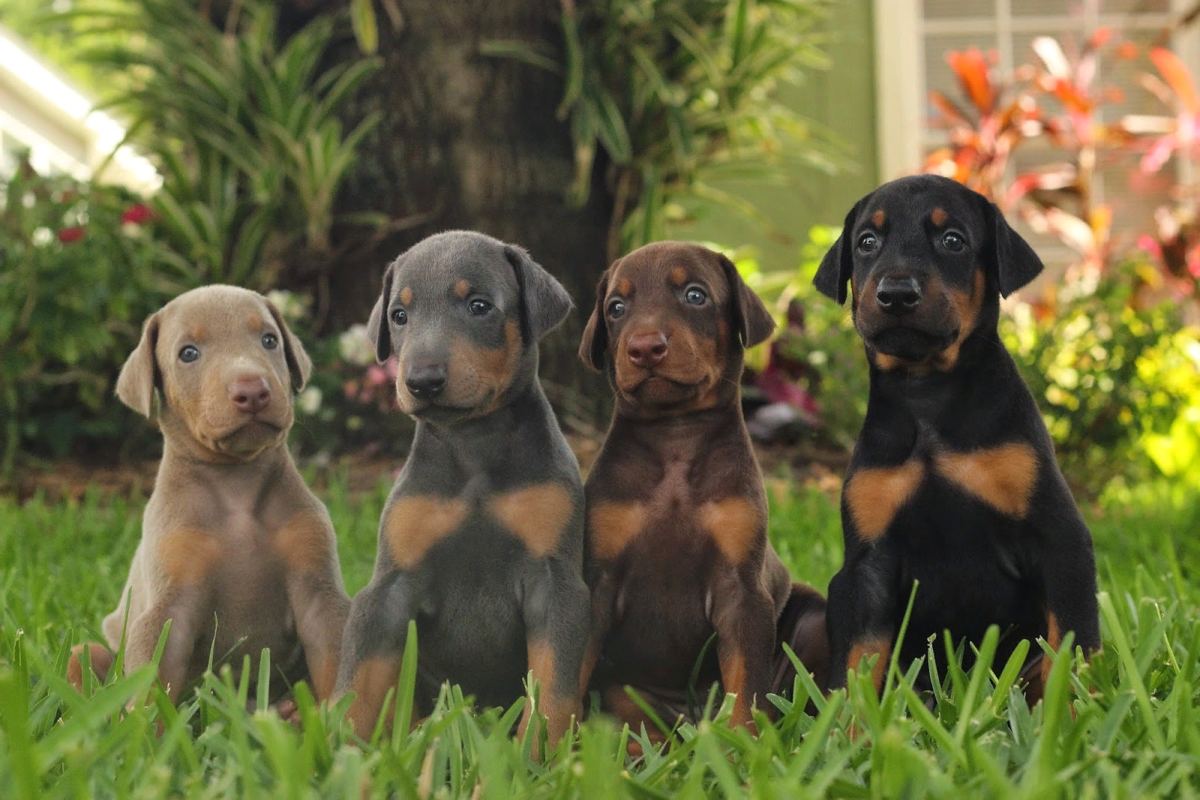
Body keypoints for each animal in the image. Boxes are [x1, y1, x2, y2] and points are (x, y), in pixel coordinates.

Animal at [66, 286, 350, 705]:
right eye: (188, 353)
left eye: (269, 340)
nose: (253, 390)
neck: (236, 484)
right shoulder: (170, 603)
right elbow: (151, 685)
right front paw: (144, 725)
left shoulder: (318, 591)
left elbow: (338, 660)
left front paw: (347, 720)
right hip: (89, 652)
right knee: (82, 658)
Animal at [336, 227, 588, 753]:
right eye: (399, 315)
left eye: (479, 305)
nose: (422, 381)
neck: (474, 445)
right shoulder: (389, 587)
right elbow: (356, 687)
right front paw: (335, 752)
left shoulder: (556, 584)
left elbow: (553, 690)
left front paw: (542, 757)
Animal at [578, 239, 825, 738]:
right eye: (616, 307)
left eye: (695, 295)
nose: (644, 348)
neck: (676, 436)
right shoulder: (598, 579)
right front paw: (540, 740)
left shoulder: (741, 589)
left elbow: (747, 689)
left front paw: (744, 746)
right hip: (625, 692)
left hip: (814, 618)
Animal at [811, 172, 1099, 695]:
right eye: (867, 242)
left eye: (953, 240)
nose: (896, 293)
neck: (928, 394)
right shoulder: (865, 567)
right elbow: (856, 668)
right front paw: (846, 720)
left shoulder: (1060, 539)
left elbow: (1071, 650)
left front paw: (1074, 709)